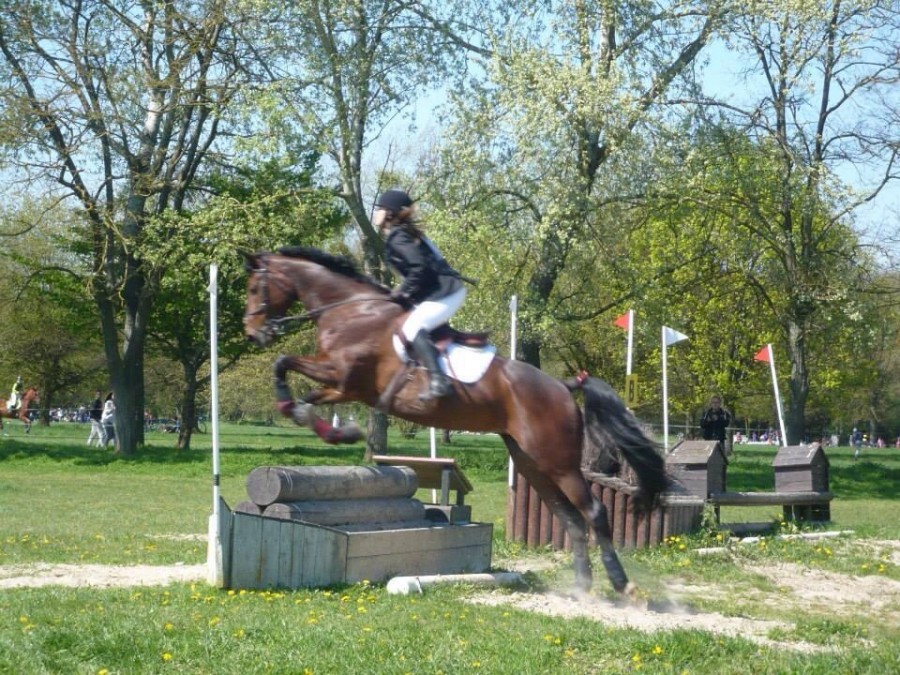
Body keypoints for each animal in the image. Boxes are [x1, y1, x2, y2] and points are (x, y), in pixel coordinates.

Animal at [242, 246, 668, 595]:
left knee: (593, 512)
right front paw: (330, 428)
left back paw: (622, 586)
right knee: (570, 518)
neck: (350, 309)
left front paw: (322, 422)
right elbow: (296, 383)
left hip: (557, 460)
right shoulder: (345, 387)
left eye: (253, 288)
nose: (251, 333)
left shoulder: (345, 378)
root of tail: (563, 386)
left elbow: (284, 363)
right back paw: (582, 587)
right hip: (531, 462)